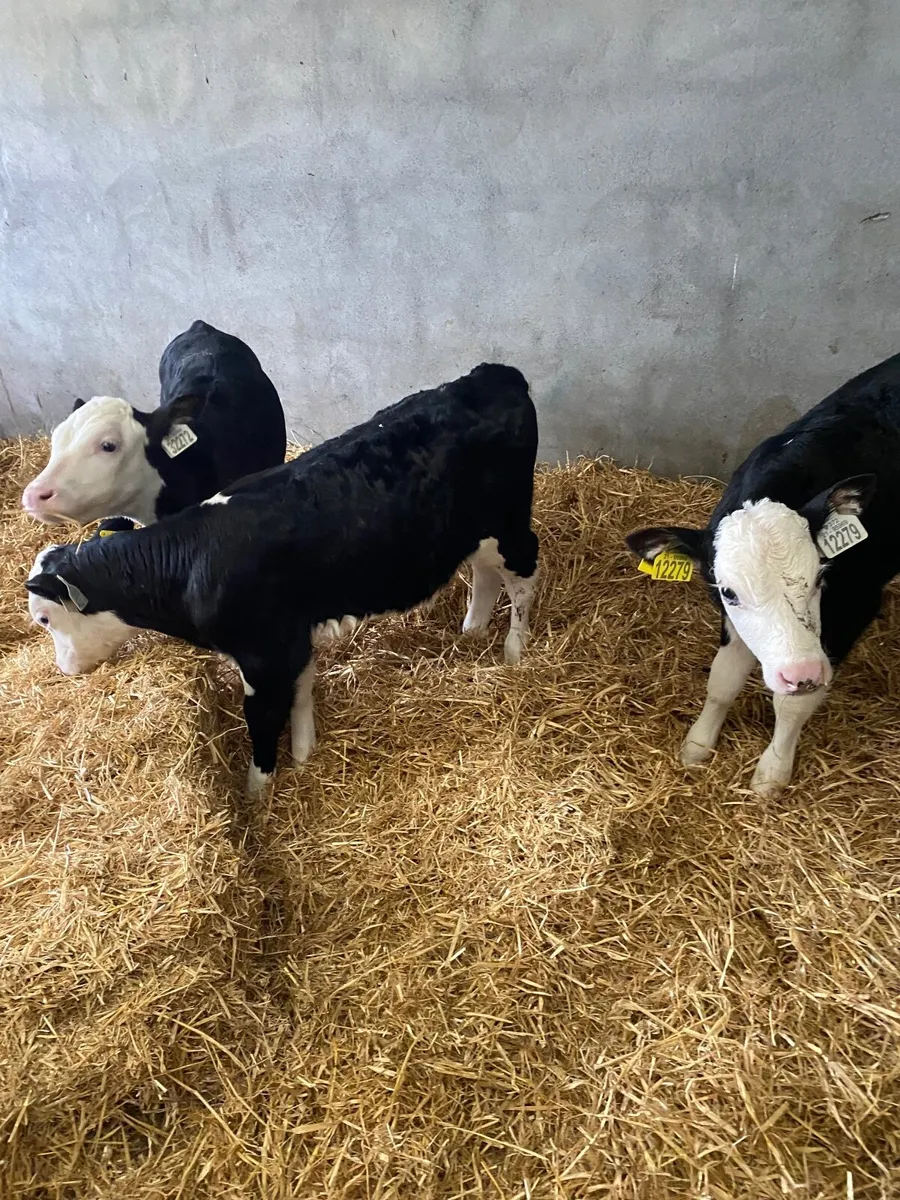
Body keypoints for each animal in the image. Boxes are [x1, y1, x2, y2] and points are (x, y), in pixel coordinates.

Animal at [24, 363, 540, 796]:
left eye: (44, 619)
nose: (64, 670)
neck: (191, 562)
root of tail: (495, 374)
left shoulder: (263, 655)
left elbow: (262, 716)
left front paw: (257, 790)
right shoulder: (290, 639)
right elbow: (303, 688)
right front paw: (305, 752)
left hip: (509, 523)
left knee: (524, 576)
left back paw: (515, 650)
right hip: (471, 532)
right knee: (485, 572)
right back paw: (472, 629)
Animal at [625, 351, 900, 796]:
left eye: (820, 577)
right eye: (729, 592)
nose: (802, 672)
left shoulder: (854, 608)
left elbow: (791, 704)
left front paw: (772, 772)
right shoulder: (730, 620)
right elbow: (722, 680)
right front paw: (697, 744)